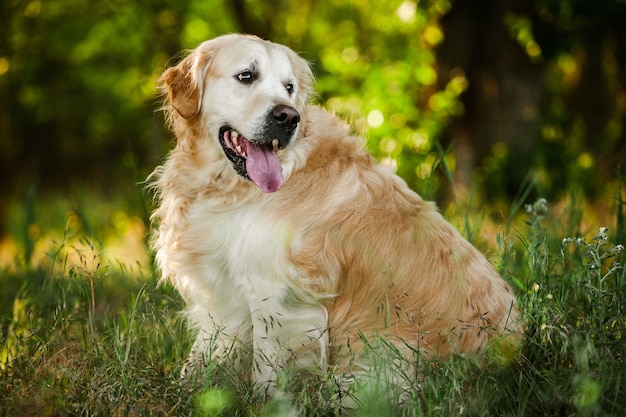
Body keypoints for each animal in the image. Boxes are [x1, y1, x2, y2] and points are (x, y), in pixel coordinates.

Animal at [149, 34, 520, 394]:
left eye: (289, 87)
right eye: (246, 76)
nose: (289, 117)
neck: (228, 187)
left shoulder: (278, 295)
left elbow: (267, 372)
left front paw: (268, 404)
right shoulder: (225, 289)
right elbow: (202, 355)